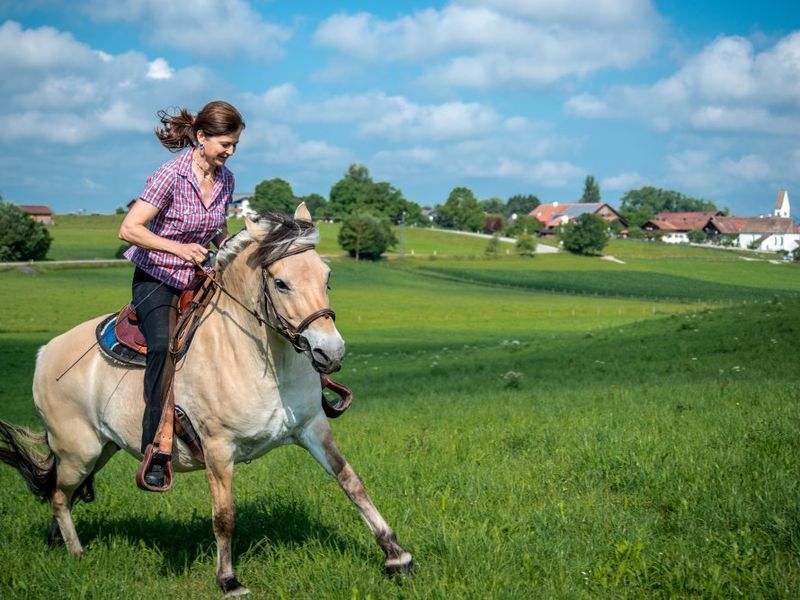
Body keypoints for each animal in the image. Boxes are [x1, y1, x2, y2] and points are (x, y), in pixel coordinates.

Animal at [0, 205, 412, 596]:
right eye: (280, 283)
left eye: (327, 277)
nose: (331, 352)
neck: (261, 359)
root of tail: (45, 353)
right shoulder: (218, 448)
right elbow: (224, 516)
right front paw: (229, 580)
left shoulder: (313, 428)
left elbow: (351, 482)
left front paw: (396, 555)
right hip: (79, 451)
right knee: (58, 496)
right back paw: (76, 553)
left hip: (103, 449)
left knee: (62, 495)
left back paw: (58, 542)